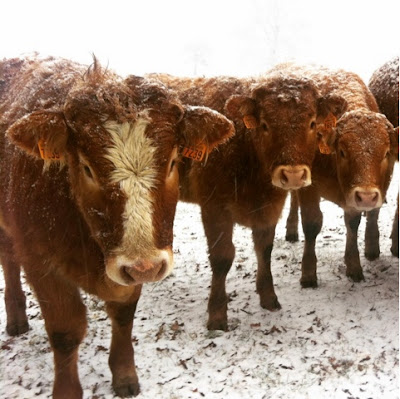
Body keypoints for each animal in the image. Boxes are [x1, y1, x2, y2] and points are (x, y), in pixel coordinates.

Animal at [0, 56, 234, 399]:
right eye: (86, 168)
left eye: (173, 162)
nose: (146, 267)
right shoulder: (40, 261)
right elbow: (65, 332)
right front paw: (67, 390)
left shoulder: (133, 270)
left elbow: (123, 315)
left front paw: (124, 375)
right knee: (8, 260)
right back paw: (16, 317)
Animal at [152, 69, 346, 332]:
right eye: (264, 124)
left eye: (312, 123)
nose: (293, 174)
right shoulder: (214, 207)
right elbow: (222, 257)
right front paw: (217, 315)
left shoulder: (270, 207)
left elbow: (264, 249)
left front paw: (268, 297)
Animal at [280, 65, 398, 288]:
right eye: (342, 151)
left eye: (386, 153)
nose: (367, 196)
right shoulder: (309, 186)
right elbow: (311, 223)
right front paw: (308, 274)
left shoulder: (354, 196)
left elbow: (353, 223)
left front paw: (354, 266)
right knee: (293, 197)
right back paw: (291, 229)